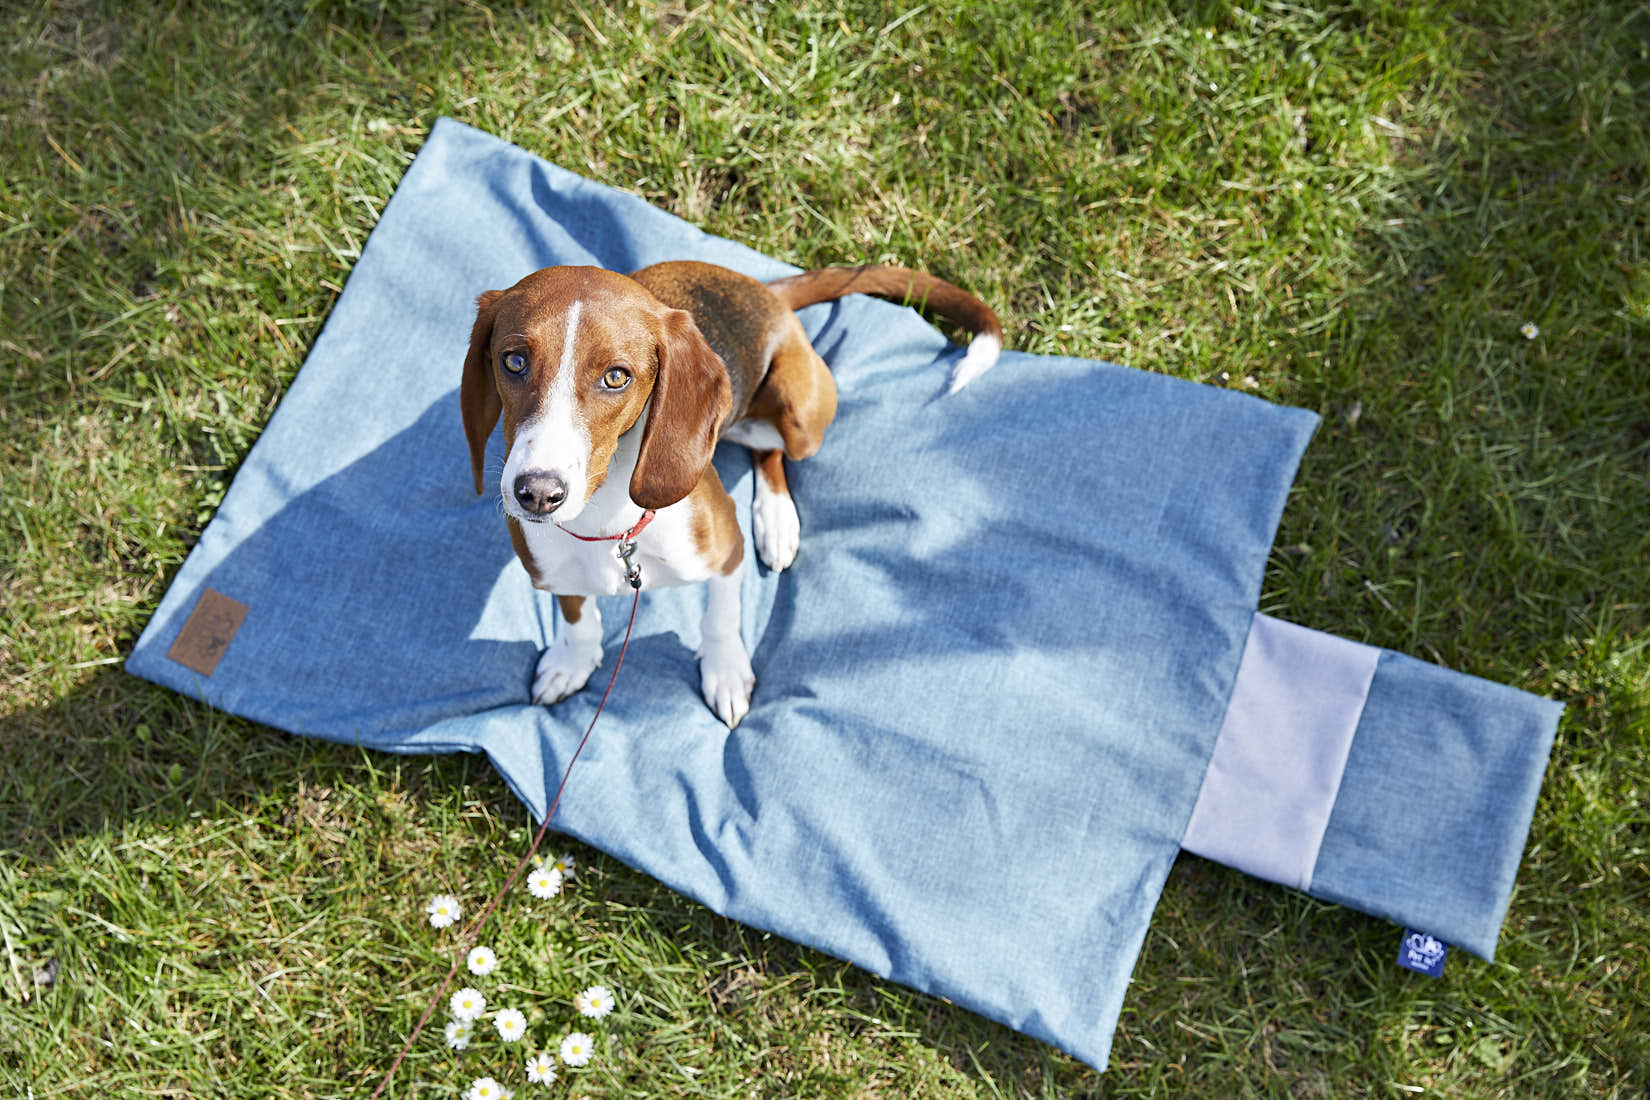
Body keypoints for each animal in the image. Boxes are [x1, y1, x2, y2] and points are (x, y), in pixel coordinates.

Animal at [465, 262, 1003, 732]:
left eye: (616, 376)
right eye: (513, 361)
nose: (537, 494)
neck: (607, 528)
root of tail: (765, 290)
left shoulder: (728, 553)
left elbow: (720, 619)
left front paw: (725, 673)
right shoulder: (554, 574)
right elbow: (579, 620)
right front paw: (572, 661)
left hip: (801, 418)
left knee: (773, 450)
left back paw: (776, 520)